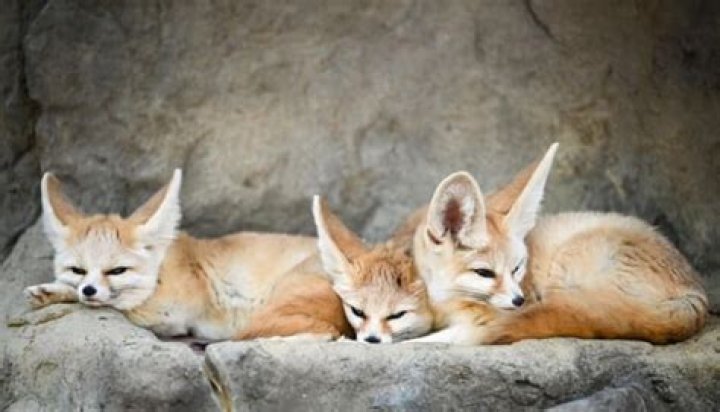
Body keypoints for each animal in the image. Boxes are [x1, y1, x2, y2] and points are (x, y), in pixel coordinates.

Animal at [23, 169, 340, 341]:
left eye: (117, 271)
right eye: (78, 270)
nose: (88, 289)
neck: (164, 271)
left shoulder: (171, 315)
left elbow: (120, 303)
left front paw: (59, 292)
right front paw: (53, 290)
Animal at [400, 143, 708, 345]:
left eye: (517, 267)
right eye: (484, 273)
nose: (520, 300)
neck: (444, 298)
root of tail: (696, 292)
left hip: (566, 262)